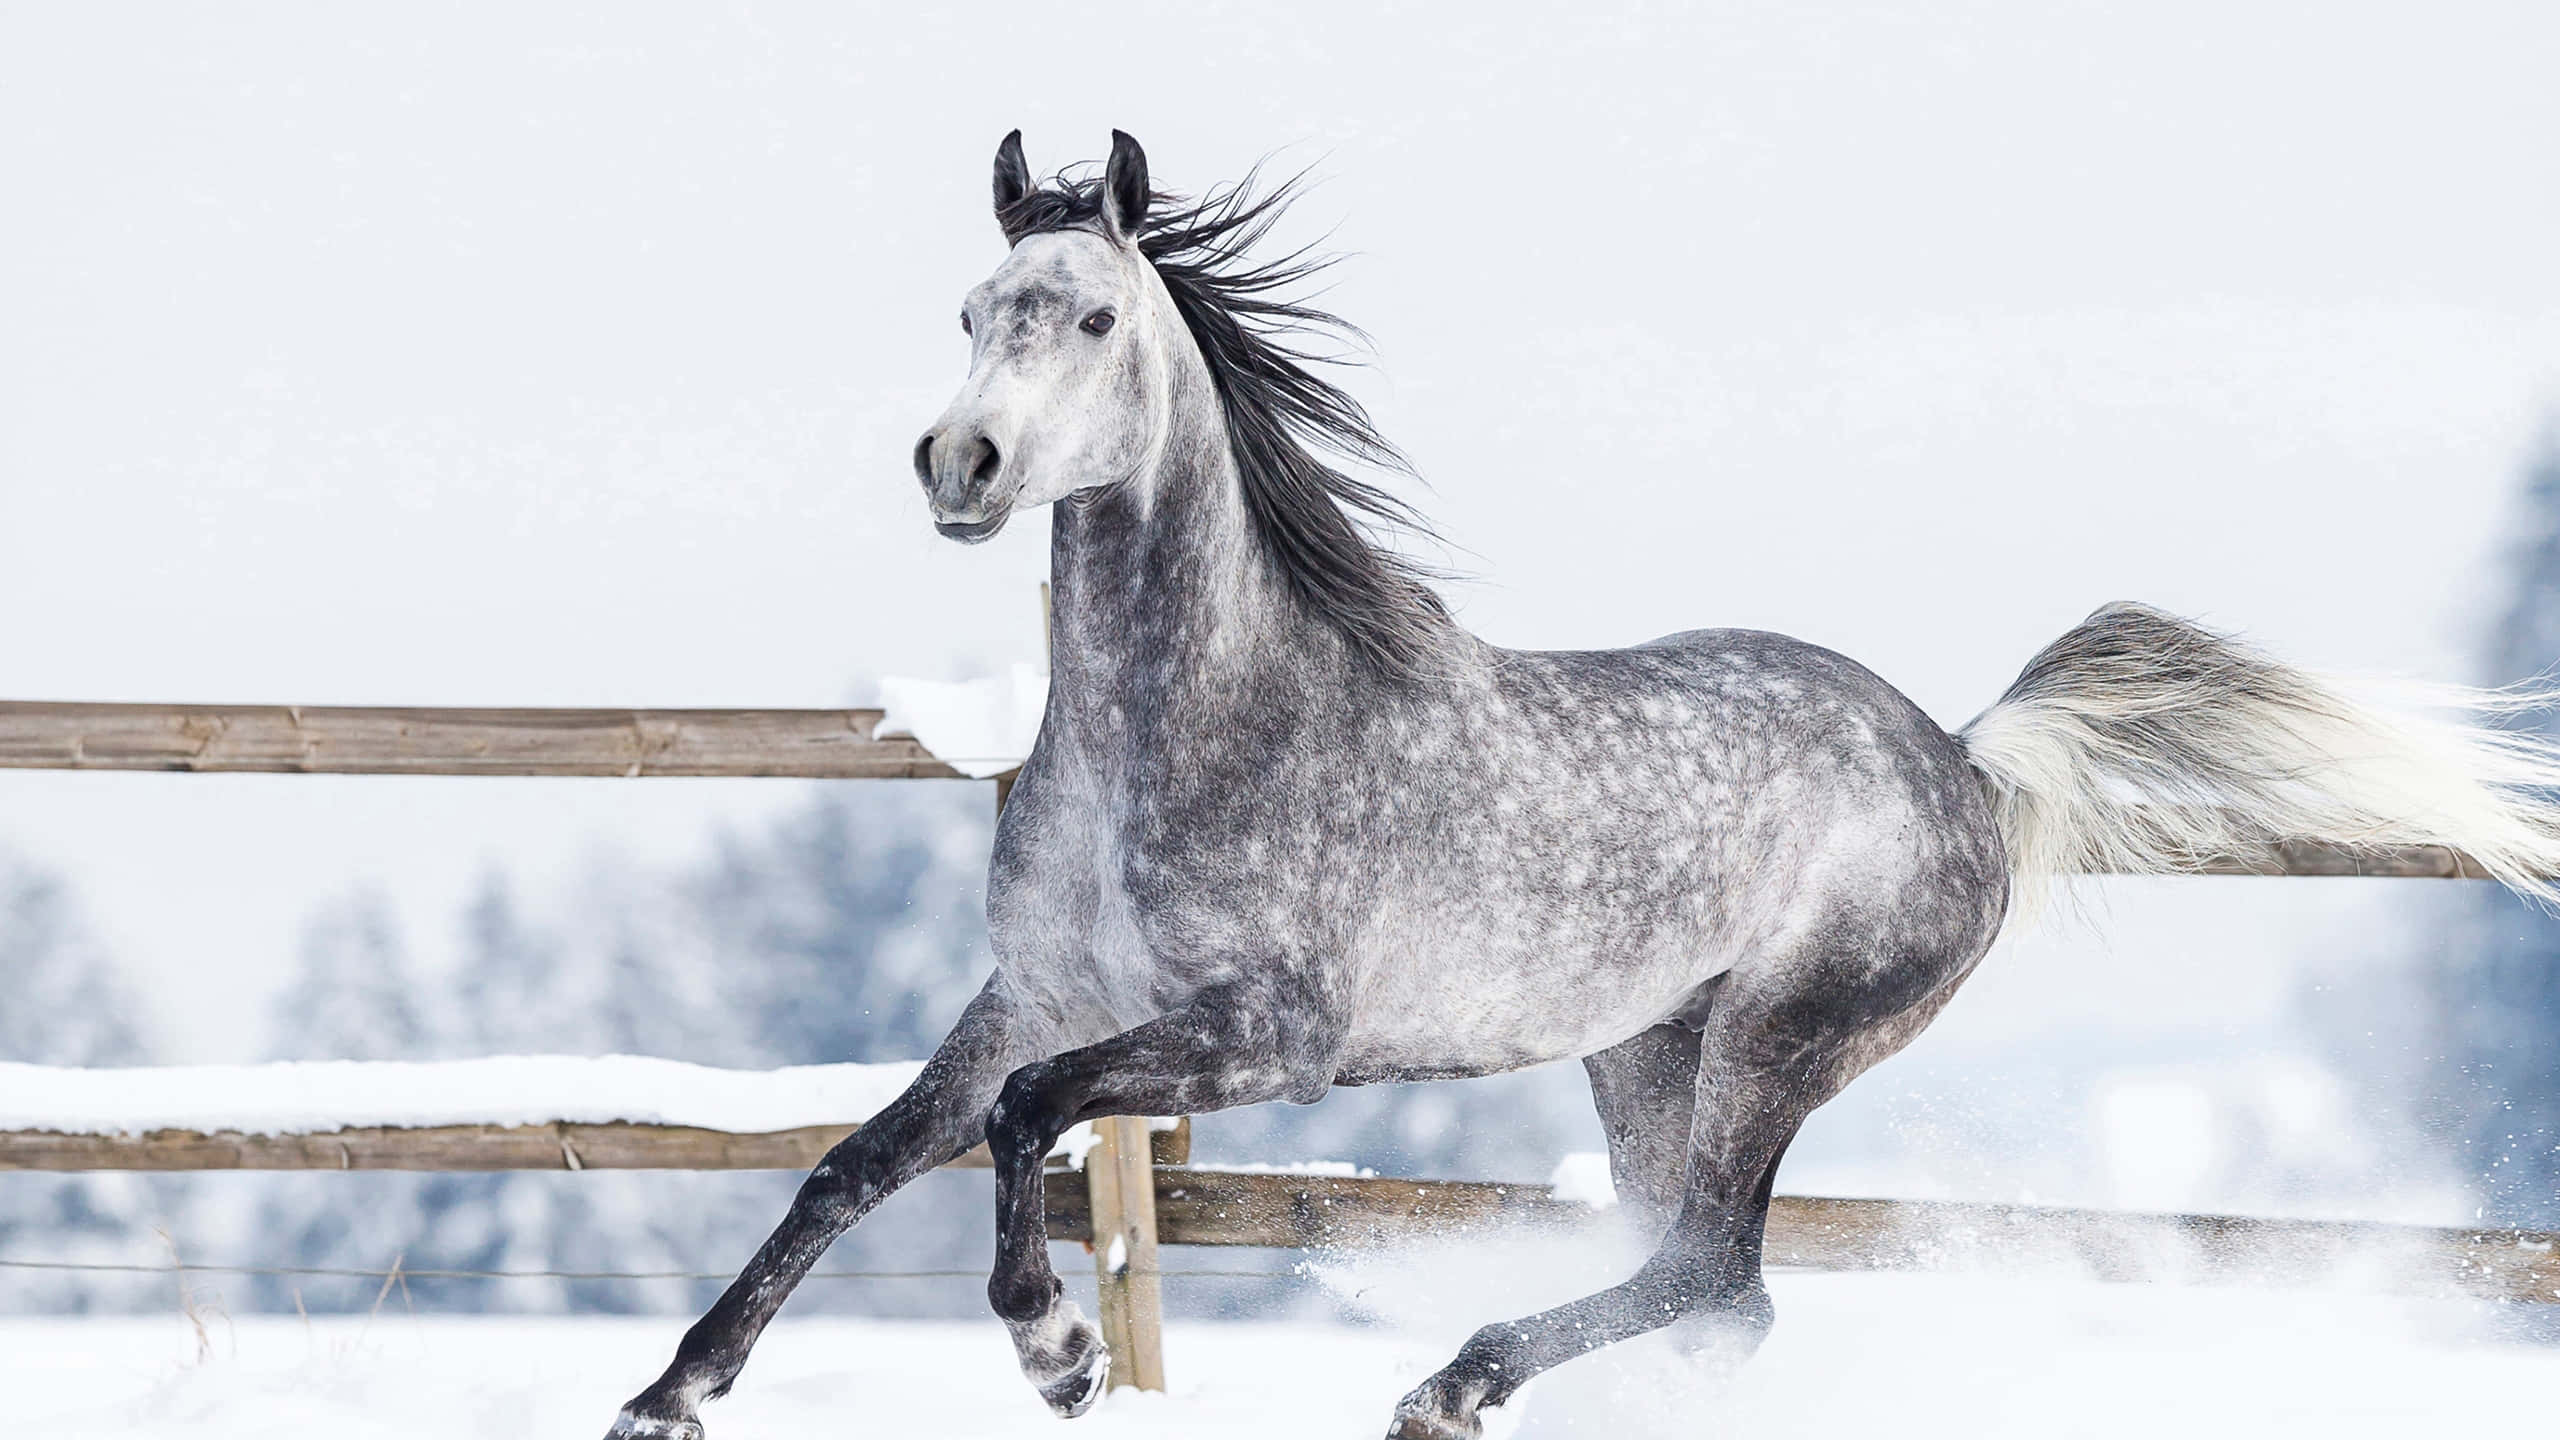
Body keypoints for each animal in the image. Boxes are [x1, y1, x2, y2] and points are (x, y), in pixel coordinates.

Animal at [607, 130, 2560, 1440]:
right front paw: (671, 1394)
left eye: (1087, 318)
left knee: (1715, 1274)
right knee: (1716, 1303)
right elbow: (851, 1165)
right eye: (965, 310)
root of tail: (1959, 756)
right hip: (1646, 1053)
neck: (1189, 722)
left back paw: (1452, 1384)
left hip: (1781, 1037)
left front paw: (1058, 1352)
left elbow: (1023, 1133)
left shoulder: (1269, 1039)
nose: (961, 463)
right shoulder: (1032, 997)